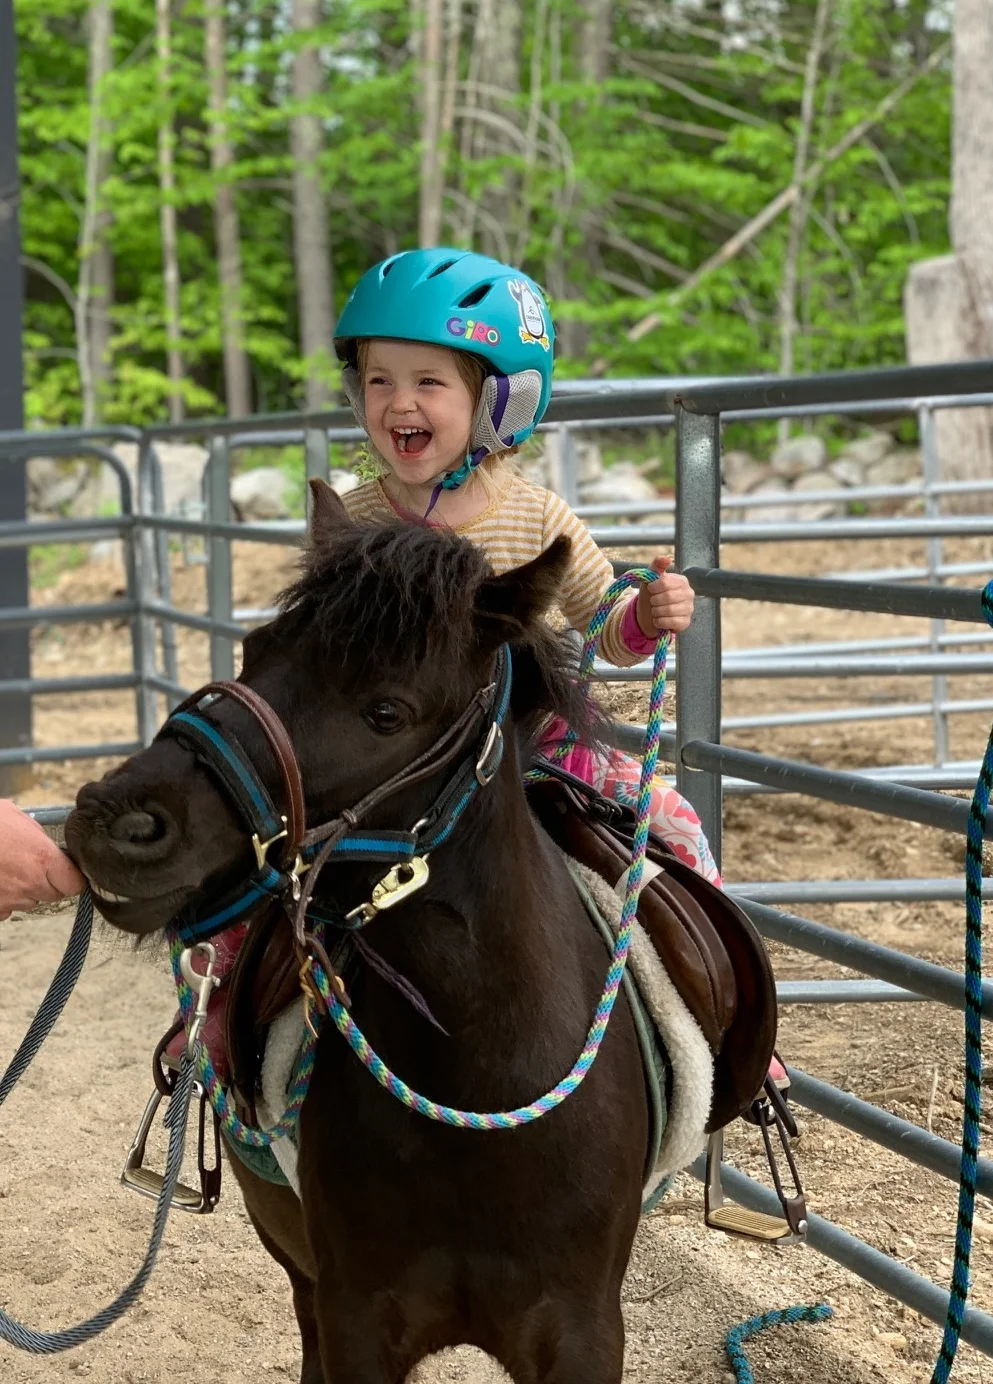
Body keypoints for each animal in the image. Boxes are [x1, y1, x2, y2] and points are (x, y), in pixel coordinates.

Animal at [65, 480, 655, 1384]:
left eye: (385, 711)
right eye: (254, 650)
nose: (114, 820)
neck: (476, 1086)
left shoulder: (584, 1330)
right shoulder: (356, 1316)